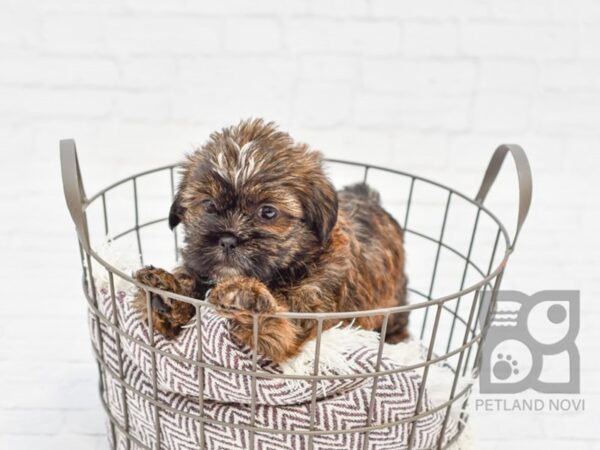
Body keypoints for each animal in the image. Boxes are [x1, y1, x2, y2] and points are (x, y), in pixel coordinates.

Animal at [134, 118, 410, 362]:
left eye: (268, 212)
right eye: (209, 205)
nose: (228, 239)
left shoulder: (311, 305)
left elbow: (280, 326)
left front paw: (243, 296)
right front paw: (168, 292)